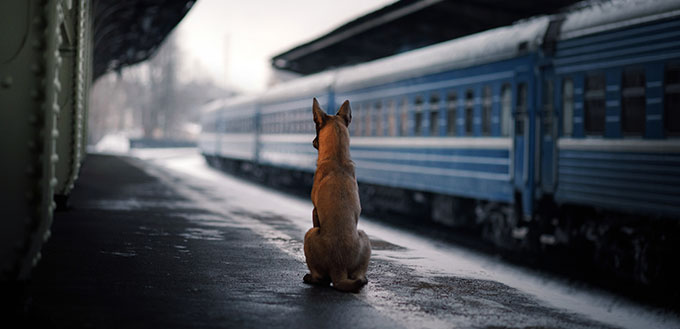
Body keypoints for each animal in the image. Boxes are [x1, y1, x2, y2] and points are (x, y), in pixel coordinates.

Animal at [302, 98, 372, 292]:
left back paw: (311, 277)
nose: (313, 141)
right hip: (364, 236)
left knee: (321, 279)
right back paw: (362, 280)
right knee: (359, 276)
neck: (337, 157)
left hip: (309, 233)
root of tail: (338, 269)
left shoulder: (314, 211)